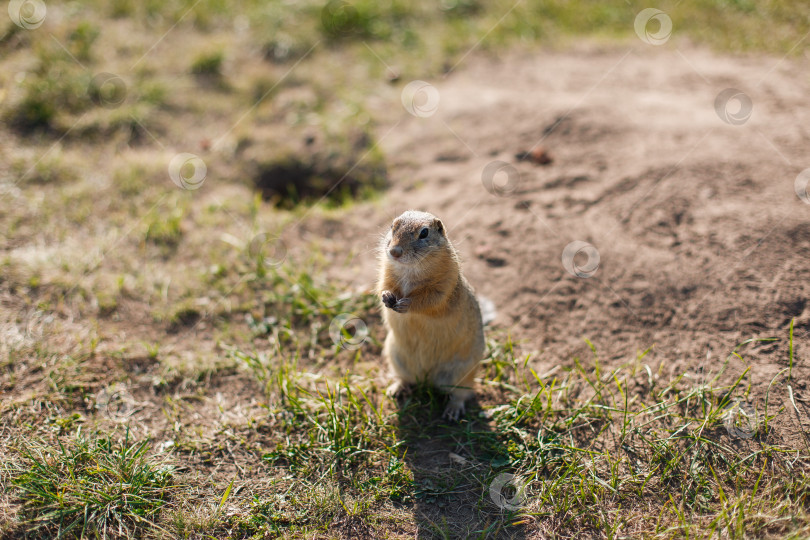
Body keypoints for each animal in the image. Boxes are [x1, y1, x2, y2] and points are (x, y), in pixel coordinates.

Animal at [378, 209, 482, 420]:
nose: (395, 252)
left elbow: (429, 301)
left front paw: (406, 304)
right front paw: (387, 297)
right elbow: (383, 287)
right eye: (392, 226)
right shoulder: (385, 274)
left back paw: (452, 411)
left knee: (461, 394)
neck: (410, 269)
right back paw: (395, 389)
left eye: (424, 233)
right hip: (396, 359)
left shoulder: (444, 286)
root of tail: (427, 379)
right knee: (406, 379)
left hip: (462, 373)